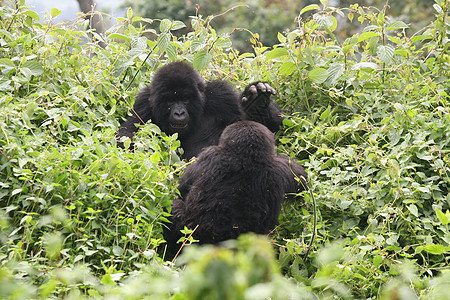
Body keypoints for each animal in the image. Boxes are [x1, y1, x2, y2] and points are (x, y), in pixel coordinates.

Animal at [118, 61, 284, 159]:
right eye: (170, 101)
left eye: (185, 99)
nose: (179, 113)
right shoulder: (143, 104)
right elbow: (126, 135)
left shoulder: (222, 95)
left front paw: (257, 104)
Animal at [163, 120, 308, 250]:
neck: (247, 157)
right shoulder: (282, 167)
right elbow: (303, 184)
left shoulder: (210, 154)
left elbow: (181, 190)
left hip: (188, 233)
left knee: (173, 206)